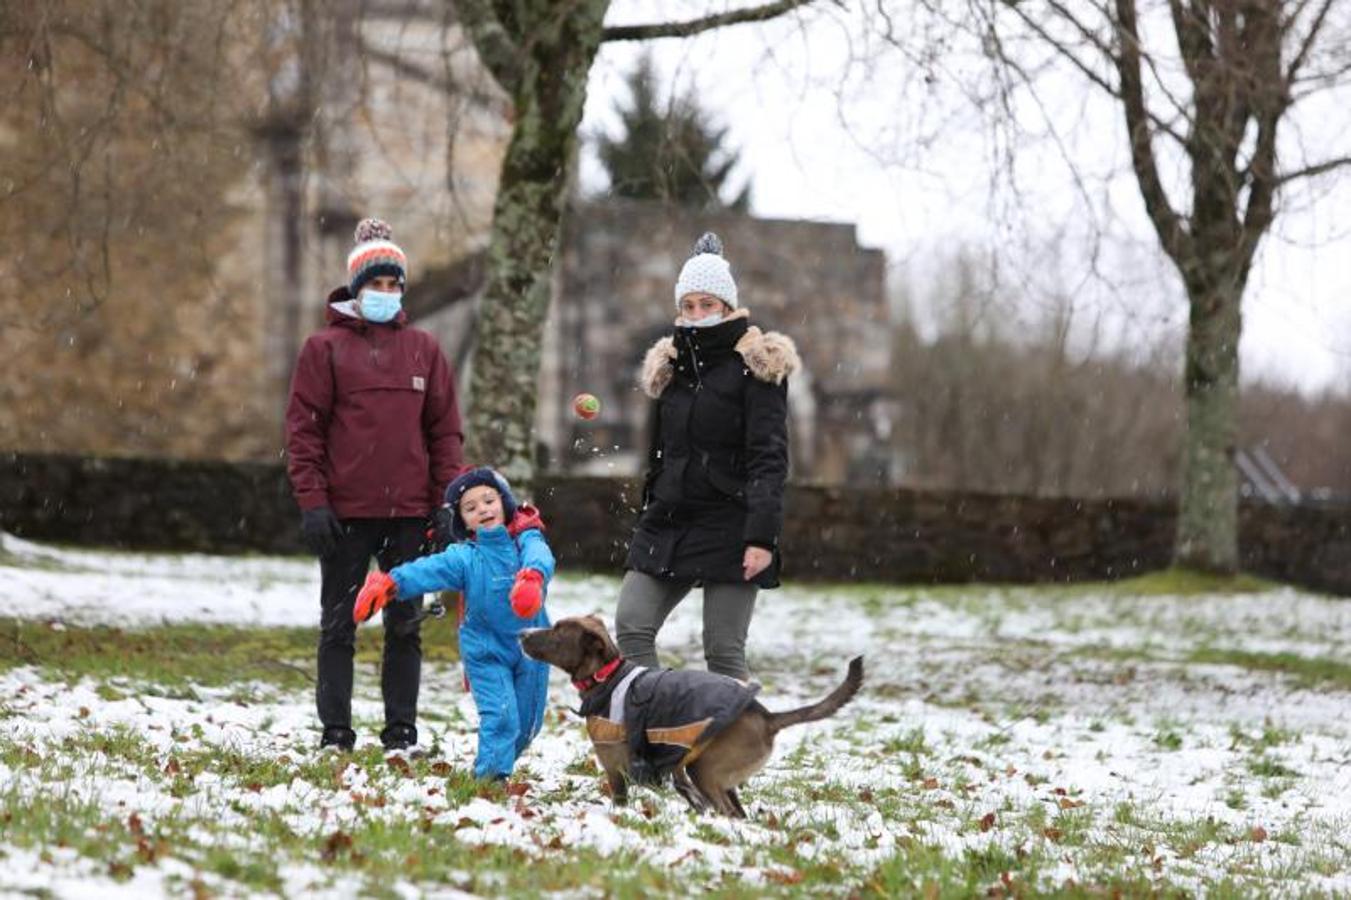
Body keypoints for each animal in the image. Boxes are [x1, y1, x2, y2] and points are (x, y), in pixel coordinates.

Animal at [518, 613, 864, 816]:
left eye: (557, 630)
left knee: (728, 813)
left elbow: (620, 801)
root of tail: (766, 717)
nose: (522, 632)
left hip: (707, 769)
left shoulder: (615, 769)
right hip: (714, 774)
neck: (607, 676)